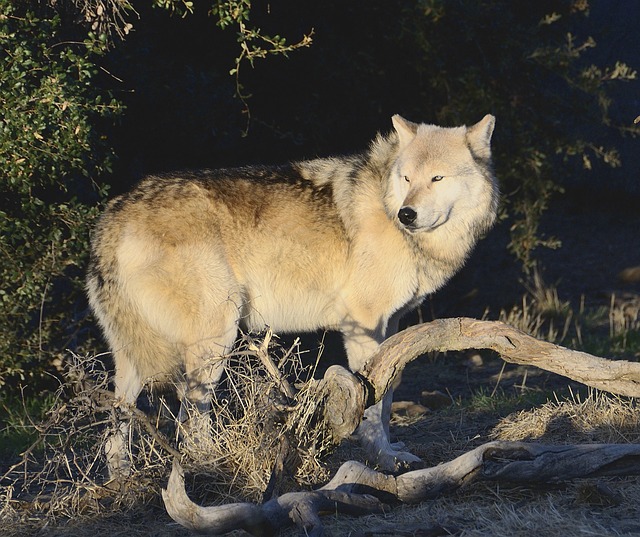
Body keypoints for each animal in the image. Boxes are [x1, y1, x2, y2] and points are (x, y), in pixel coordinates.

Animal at [87, 113, 498, 474]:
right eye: (408, 177)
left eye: (437, 177)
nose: (406, 214)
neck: (386, 204)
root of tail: (113, 215)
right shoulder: (362, 325)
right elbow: (372, 405)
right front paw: (382, 459)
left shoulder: (392, 324)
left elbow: (388, 397)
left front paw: (393, 450)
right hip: (216, 337)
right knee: (189, 415)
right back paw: (209, 466)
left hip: (134, 357)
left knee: (119, 416)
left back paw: (121, 477)